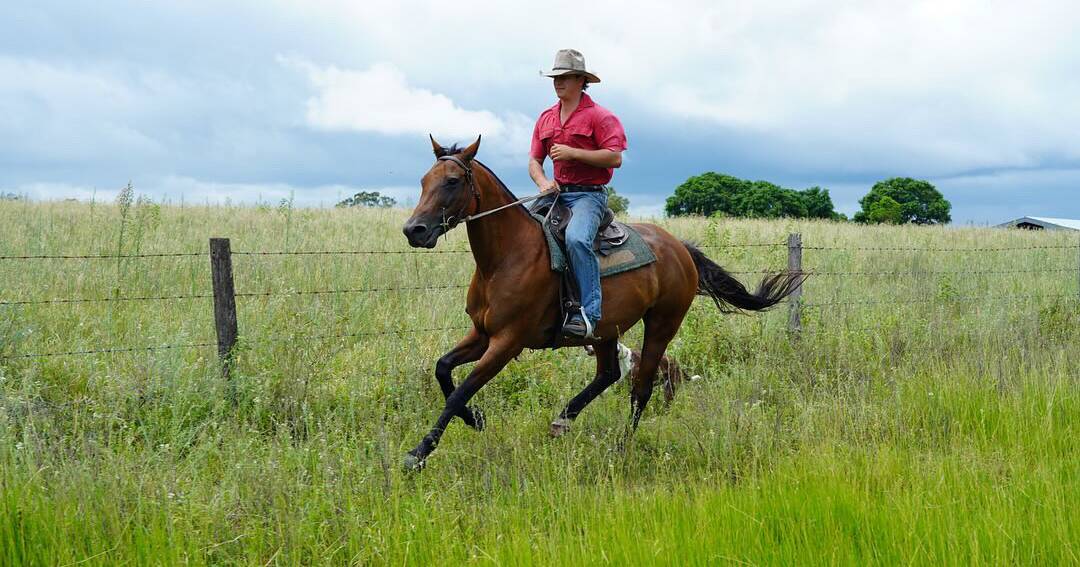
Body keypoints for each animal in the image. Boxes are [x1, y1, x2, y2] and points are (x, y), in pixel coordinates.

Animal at [399, 135, 803, 466]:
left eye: (452, 181)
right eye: (423, 181)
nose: (413, 230)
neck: (505, 257)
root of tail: (679, 248)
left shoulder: (507, 341)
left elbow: (459, 391)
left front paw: (419, 453)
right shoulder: (482, 334)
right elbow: (443, 370)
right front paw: (476, 418)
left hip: (662, 324)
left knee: (640, 388)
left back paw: (621, 446)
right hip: (606, 329)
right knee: (608, 373)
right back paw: (563, 419)